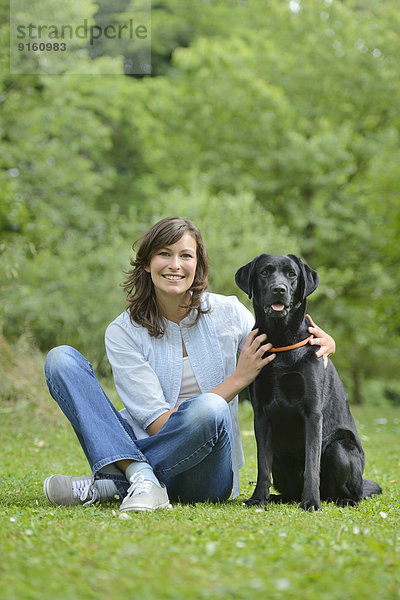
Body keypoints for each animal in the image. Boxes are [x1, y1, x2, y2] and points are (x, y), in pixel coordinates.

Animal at [236, 253, 382, 510]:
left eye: (291, 274)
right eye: (265, 272)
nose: (279, 289)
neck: (281, 342)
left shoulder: (312, 412)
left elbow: (312, 464)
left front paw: (311, 501)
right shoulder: (261, 414)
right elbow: (262, 465)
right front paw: (258, 498)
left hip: (339, 448)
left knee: (351, 494)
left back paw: (341, 499)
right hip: (280, 457)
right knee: (286, 486)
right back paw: (278, 498)